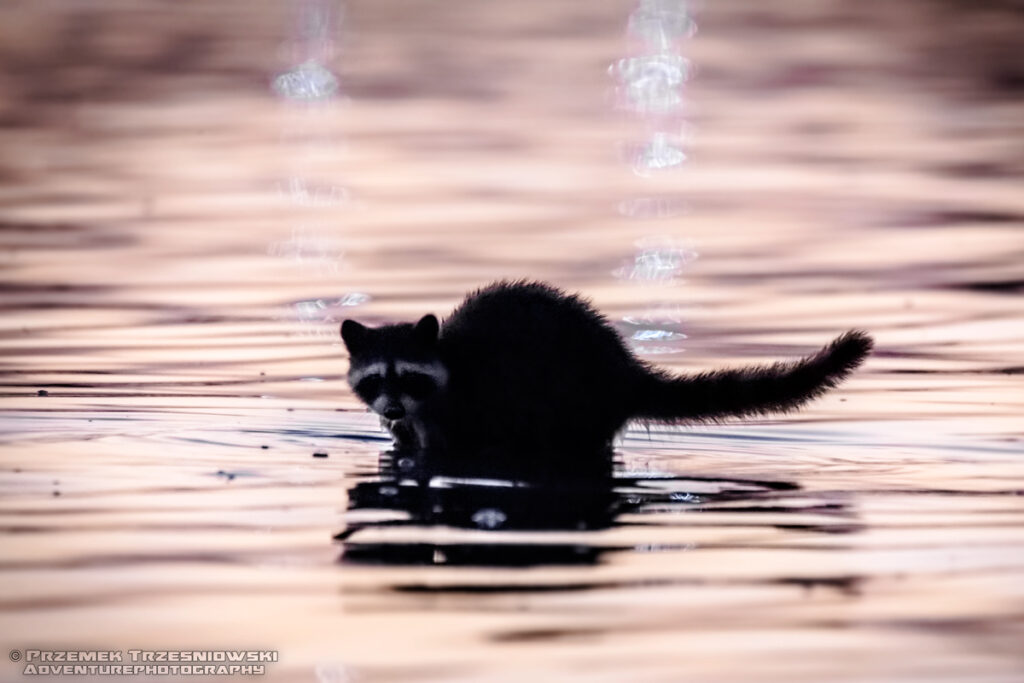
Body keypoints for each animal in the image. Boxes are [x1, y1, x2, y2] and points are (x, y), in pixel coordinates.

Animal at [342, 280, 872, 479]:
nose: (392, 408)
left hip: (568, 399)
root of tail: (624, 371)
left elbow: (446, 448)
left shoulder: (465, 405)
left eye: (409, 377)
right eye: (376, 380)